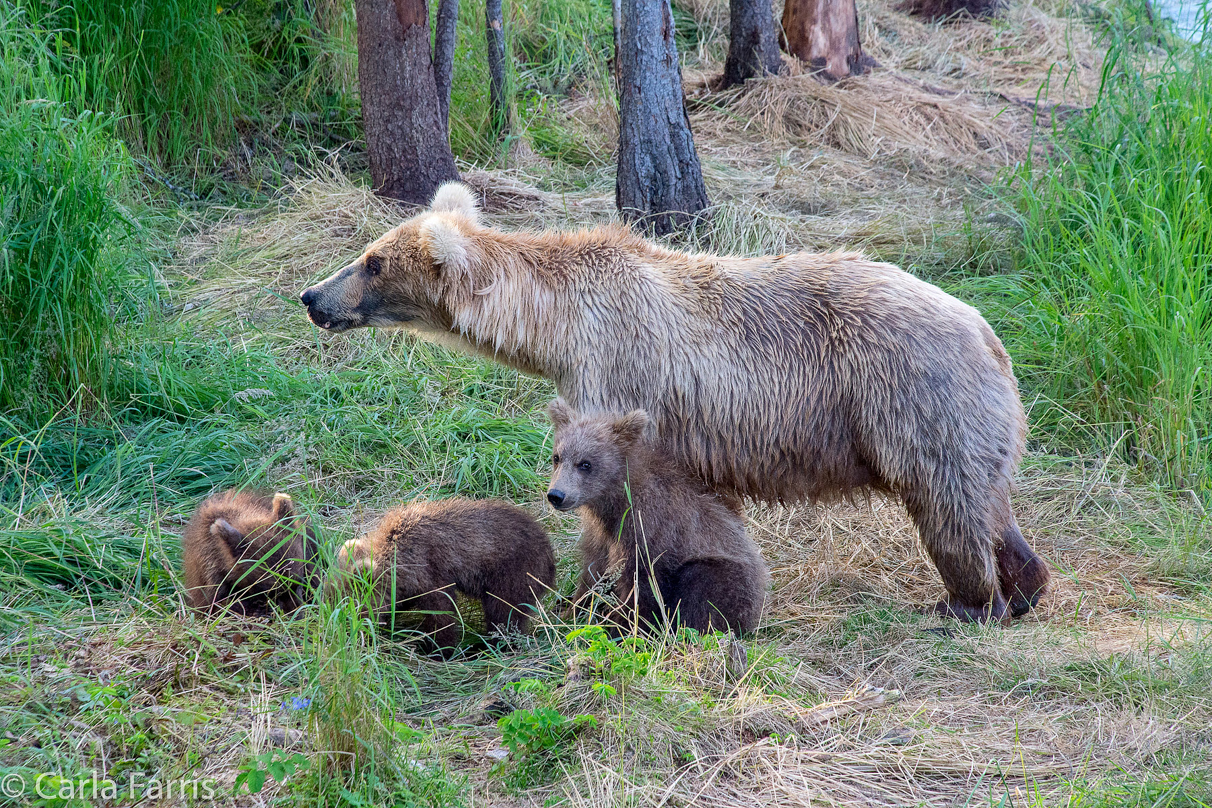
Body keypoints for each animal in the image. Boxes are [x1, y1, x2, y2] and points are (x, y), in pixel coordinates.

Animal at [300, 185, 1052, 625]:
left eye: (371, 261)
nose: (311, 296)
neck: (557, 325)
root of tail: (988, 333)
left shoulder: (617, 368)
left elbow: (623, 503)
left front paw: (599, 595)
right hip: (974, 423)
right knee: (990, 505)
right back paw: (1025, 586)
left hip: (914, 402)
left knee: (948, 508)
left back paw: (968, 602)